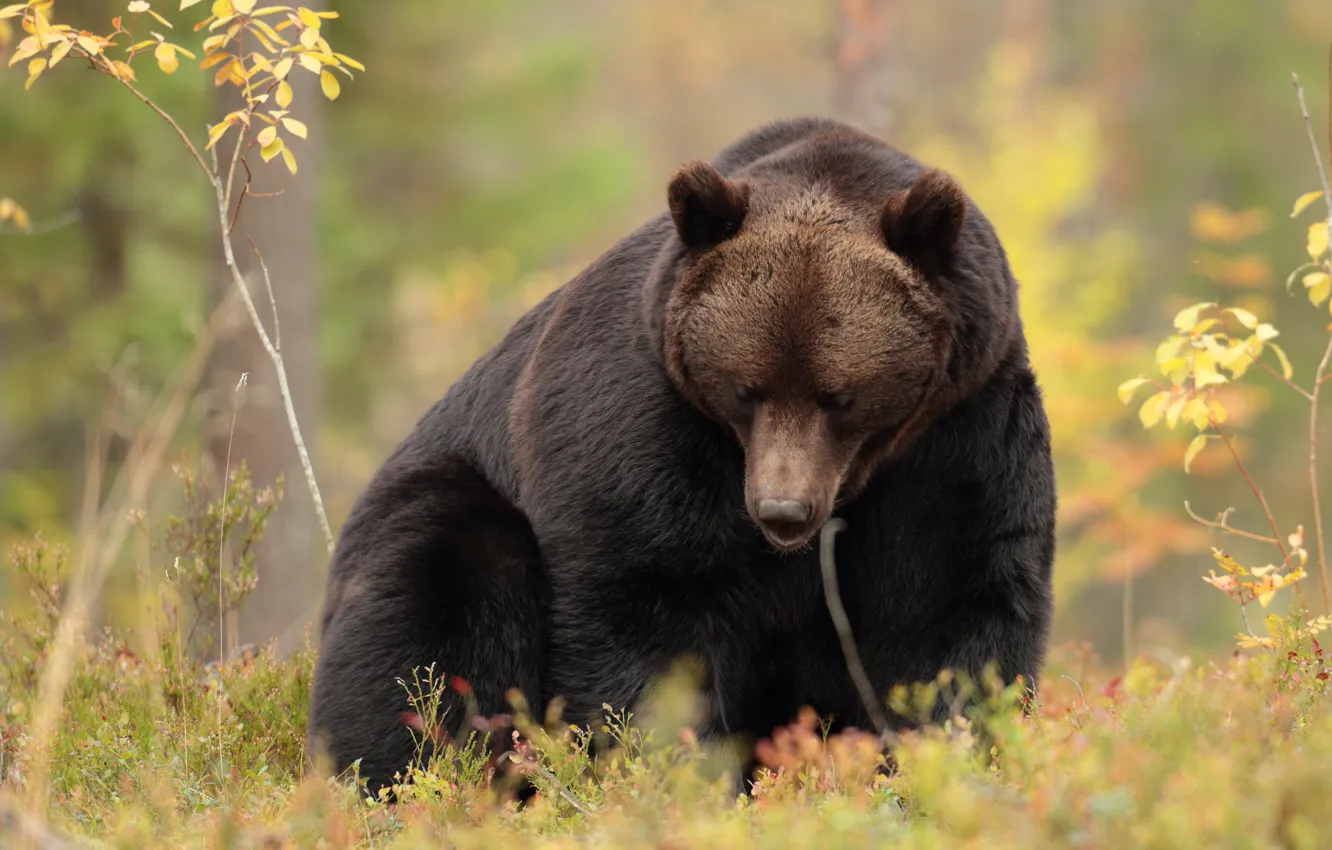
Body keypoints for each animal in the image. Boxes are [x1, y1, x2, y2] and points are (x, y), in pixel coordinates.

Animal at [306, 115, 1057, 798]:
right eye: (746, 388)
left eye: (840, 396)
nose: (782, 512)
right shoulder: (647, 420)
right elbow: (648, 604)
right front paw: (676, 773)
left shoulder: (958, 437)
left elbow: (950, 614)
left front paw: (940, 762)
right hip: (440, 499)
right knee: (434, 611)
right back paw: (407, 779)